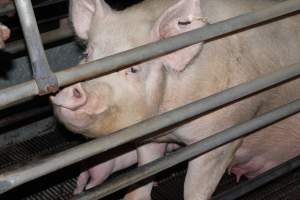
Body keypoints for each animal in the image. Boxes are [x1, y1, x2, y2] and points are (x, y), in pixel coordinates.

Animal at [51, 0, 300, 199]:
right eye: (87, 56)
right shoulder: (150, 138)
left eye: (133, 69)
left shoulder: (225, 133)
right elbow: (143, 175)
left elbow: (195, 189)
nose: (70, 89)